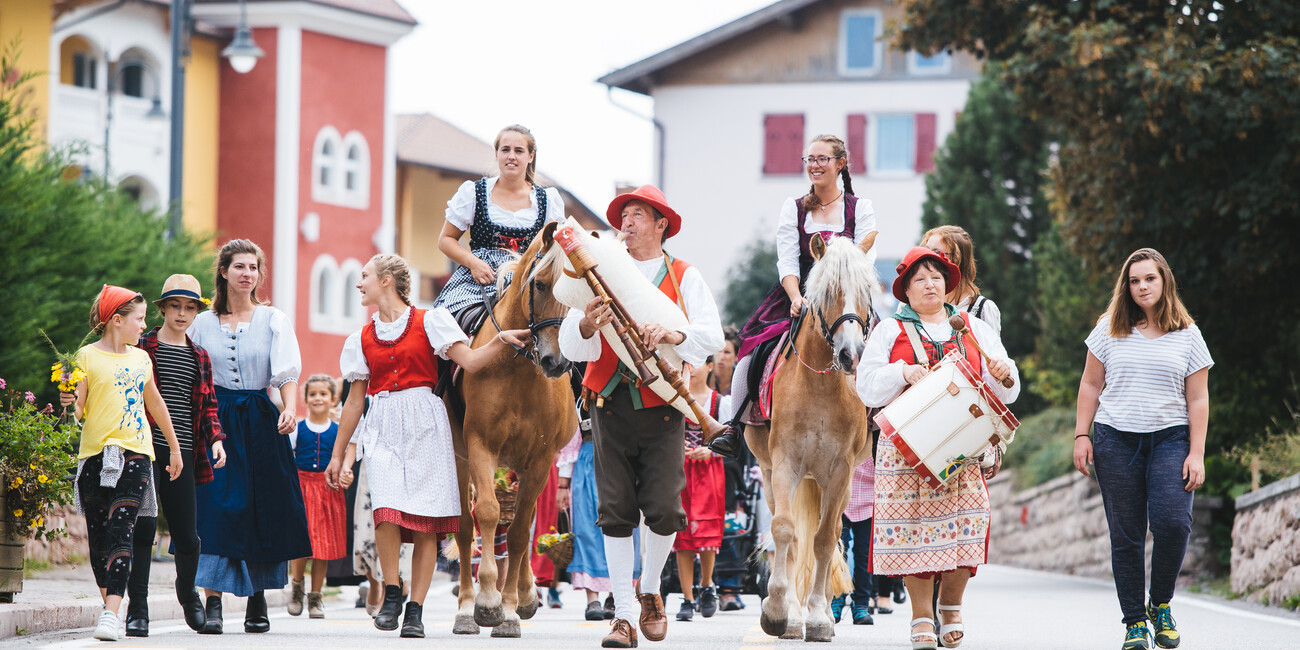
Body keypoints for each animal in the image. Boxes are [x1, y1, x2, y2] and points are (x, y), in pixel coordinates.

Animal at [447, 220, 579, 637]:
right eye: (541, 285)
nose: (557, 362)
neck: (520, 368)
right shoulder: (480, 446)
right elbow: (488, 514)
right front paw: (488, 602)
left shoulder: (541, 459)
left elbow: (521, 530)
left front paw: (509, 609)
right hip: (460, 458)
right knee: (464, 525)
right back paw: (465, 609)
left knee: (526, 522)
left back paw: (525, 594)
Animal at [743, 232, 883, 639]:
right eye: (827, 291)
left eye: (867, 291)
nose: (852, 355)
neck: (821, 384)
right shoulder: (785, 464)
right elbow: (785, 533)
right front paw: (779, 612)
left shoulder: (840, 471)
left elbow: (823, 539)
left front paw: (819, 617)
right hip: (772, 474)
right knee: (787, 537)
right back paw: (791, 614)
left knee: (828, 532)